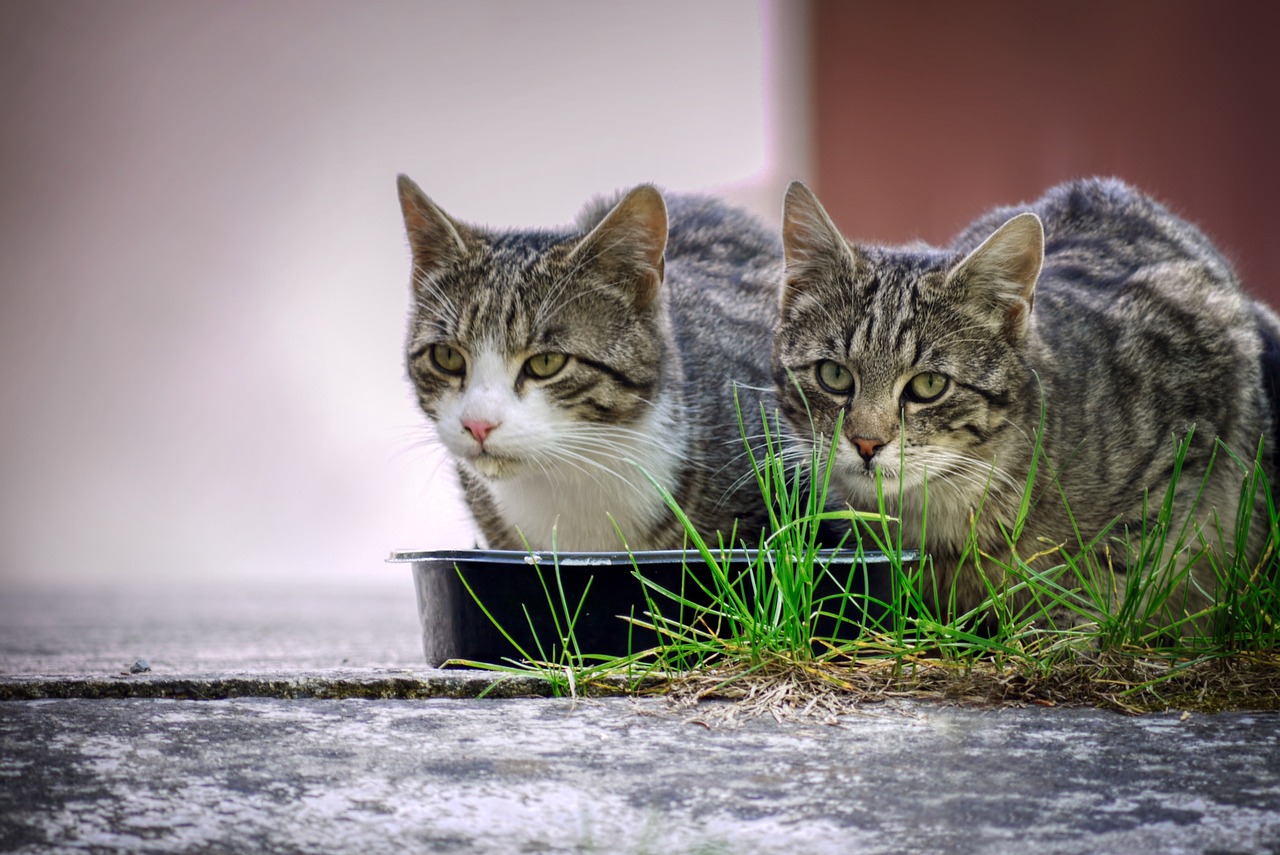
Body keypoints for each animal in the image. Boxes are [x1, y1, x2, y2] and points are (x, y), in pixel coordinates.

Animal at [773, 176, 1274, 624]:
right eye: (834, 374)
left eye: (929, 385)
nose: (866, 443)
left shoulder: (1187, 442)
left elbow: (1115, 569)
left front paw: (1063, 634)